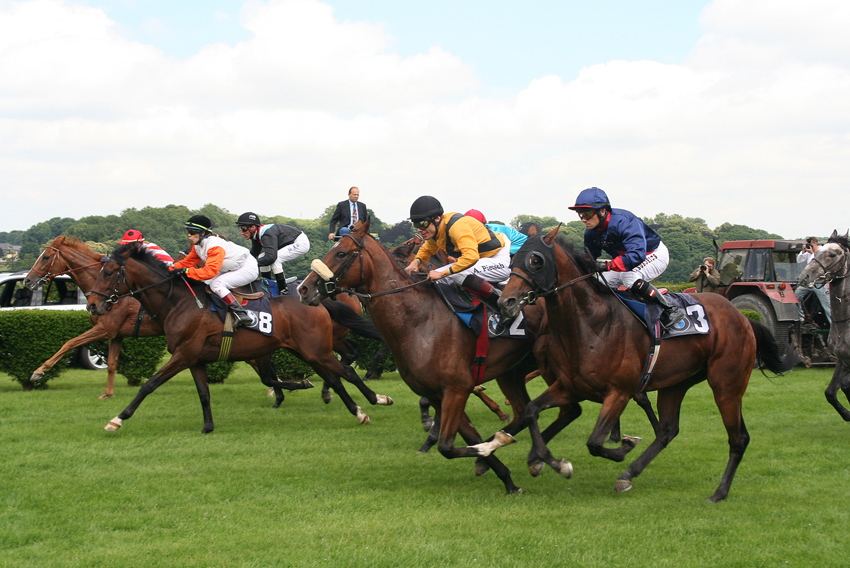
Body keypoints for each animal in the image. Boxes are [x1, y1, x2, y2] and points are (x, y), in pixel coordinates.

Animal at [86, 242, 390, 432]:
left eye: (109, 273)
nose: (92, 305)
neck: (179, 303)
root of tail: (316, 300)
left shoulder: (183, 354)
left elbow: (148, 385)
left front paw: (117, 419)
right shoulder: (195, 359)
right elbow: (204, 393)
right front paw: (208, 427)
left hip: (317, 350)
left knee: (347, 372)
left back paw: (374, 401)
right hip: (307, 351)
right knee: (336, 379)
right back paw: (355, 408)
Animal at [486, 226, 792, 502]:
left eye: (536, 261)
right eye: (512, 261)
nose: (506, 302)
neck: (590, 324)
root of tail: (743, 317)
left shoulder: (619, 392)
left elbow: (594, 442)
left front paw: (623, 445)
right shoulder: (570, 387)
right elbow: (530, 411)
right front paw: (542, 460)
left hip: (727, 386)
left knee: (738, 438)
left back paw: (719, 492)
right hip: (677, 383)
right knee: (668, 431)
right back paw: (629, 475)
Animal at [796, 231, 848, 422]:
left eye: (832, 254)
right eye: (817, 252)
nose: (804, 277)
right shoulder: (843, 359)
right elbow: (831, 392)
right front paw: (847, 414)